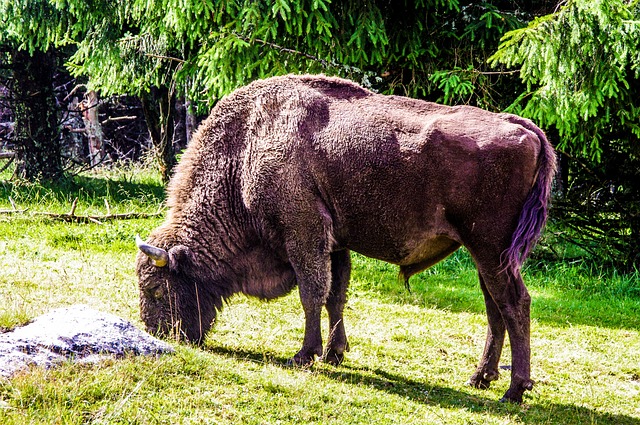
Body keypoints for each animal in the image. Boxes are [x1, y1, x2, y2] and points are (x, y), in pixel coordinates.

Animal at [136, 74, 556, 402]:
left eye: (156, 288)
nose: (159, 334)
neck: (246, 150)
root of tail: (522, 127)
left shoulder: (304, 234)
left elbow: (312, 293)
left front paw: (304, 355)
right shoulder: (335, 244)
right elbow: (335, 296)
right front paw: (334, 354)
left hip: (491, 249)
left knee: (514, 304)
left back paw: (514, 389)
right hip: (485, 255)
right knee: (494, 307)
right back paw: (481, 378)